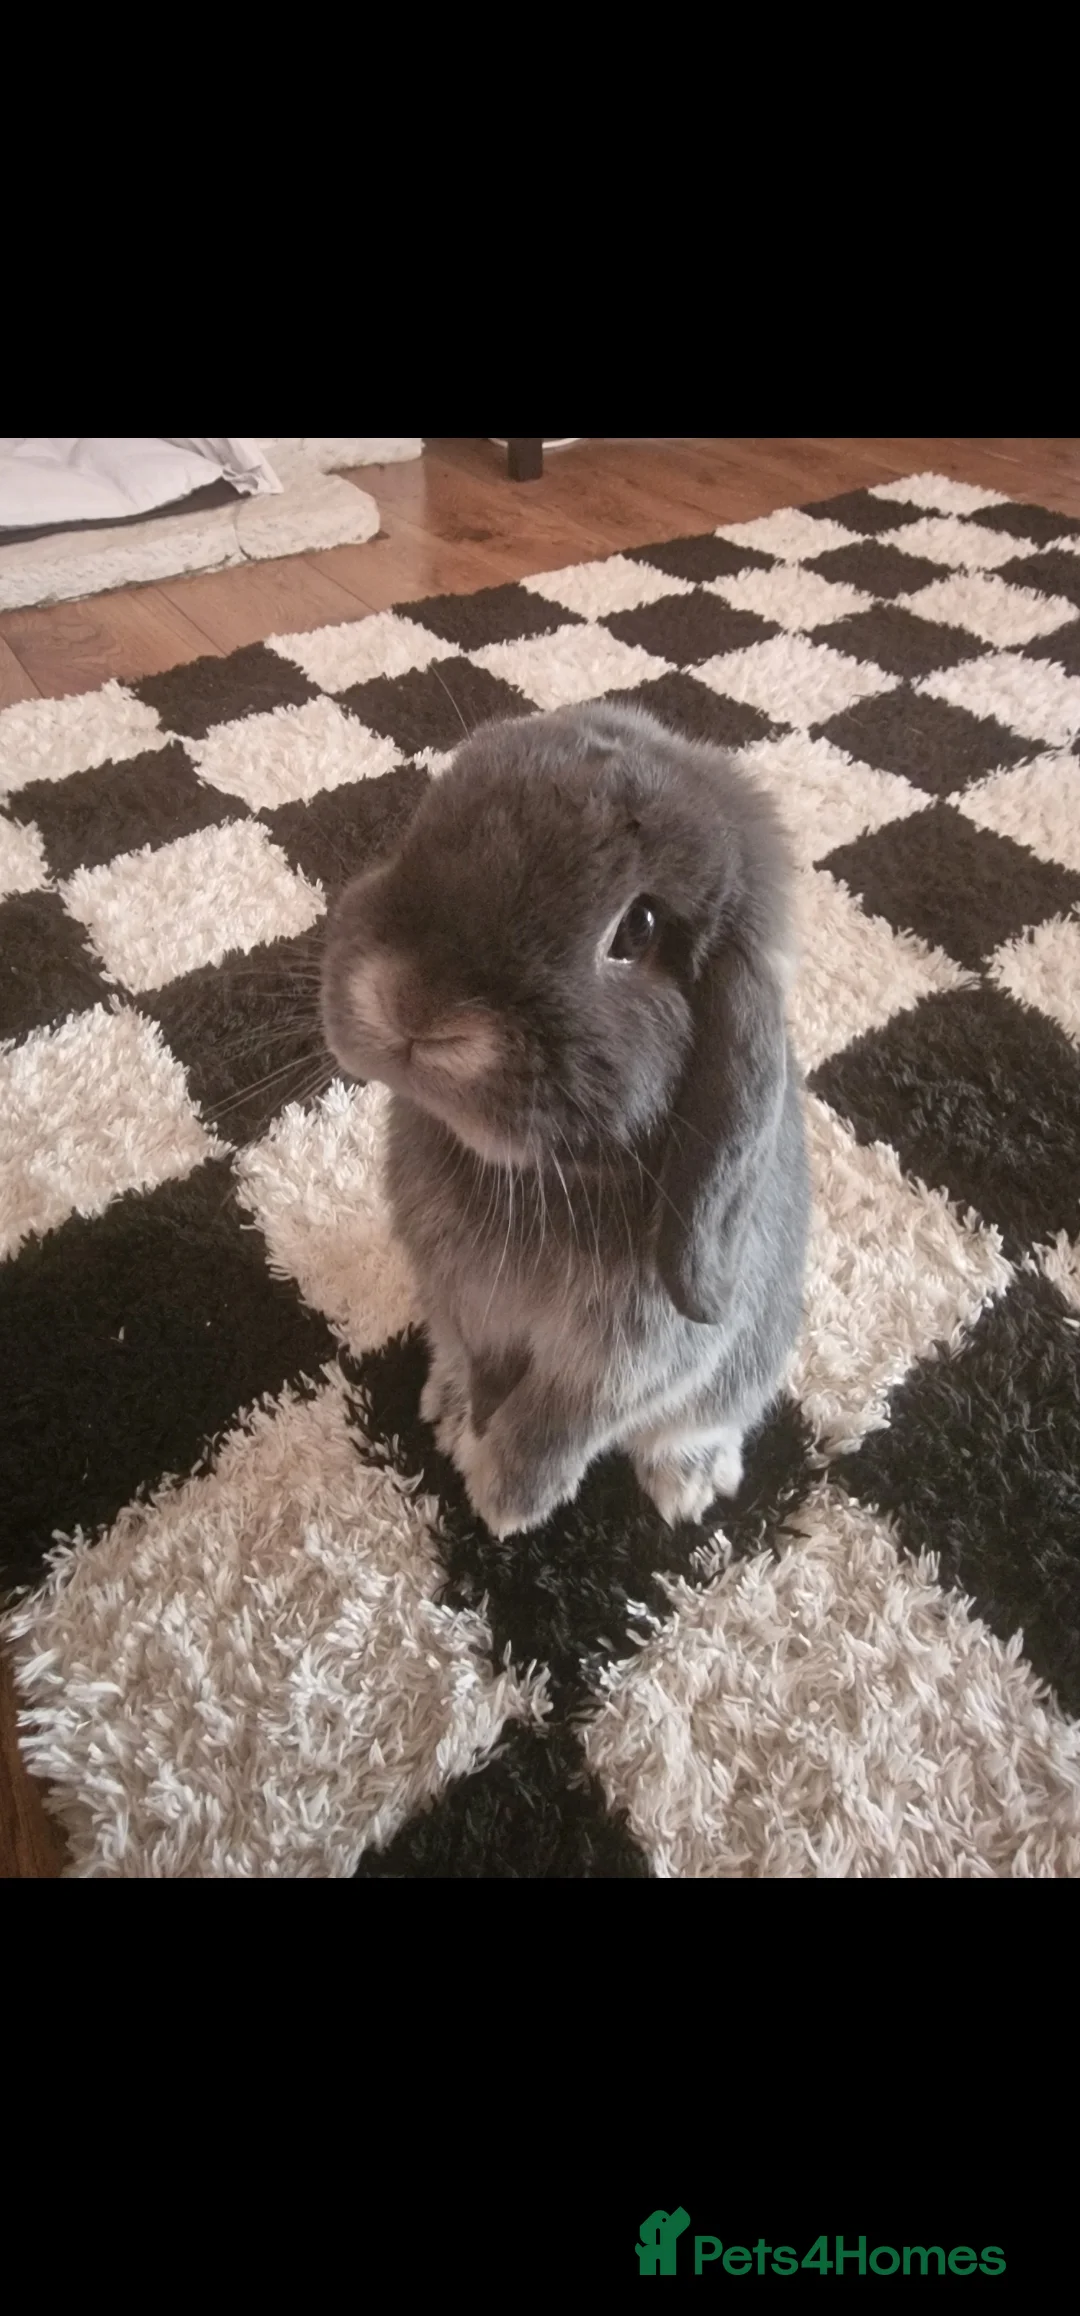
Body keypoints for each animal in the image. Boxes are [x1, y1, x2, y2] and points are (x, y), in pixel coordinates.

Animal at [320, 700, 810, 1540]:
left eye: (639, 928)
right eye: (428, 820)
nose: (414, 1002)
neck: (537, 1176)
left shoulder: (624, 1362)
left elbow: (555, 1425)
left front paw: (505, 1503)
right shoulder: (456, 1297)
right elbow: (472, 1360)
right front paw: (465, 1423)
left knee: (701, 1424)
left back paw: (690, 1486)